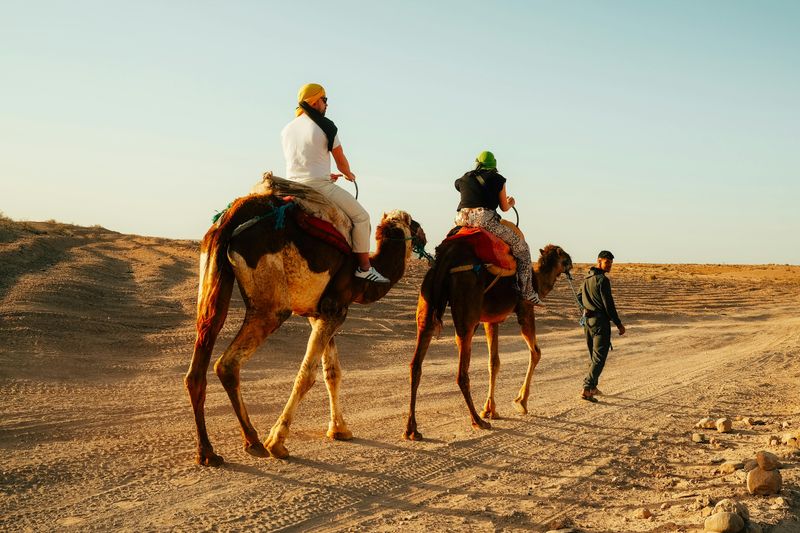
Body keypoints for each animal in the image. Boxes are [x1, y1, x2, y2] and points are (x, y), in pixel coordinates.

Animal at [185, 187, 426, 465]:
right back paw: (255, 442)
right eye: (412, 221)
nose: (423, 233)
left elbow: (332, 372)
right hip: (271, 307)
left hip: (213, 280)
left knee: (199, 359)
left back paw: (209, 451)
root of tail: (230, 220)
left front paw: (339, 430)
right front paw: (277, 443)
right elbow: (307, 375)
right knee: (227, 363)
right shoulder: (334, 309)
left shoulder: (321, 312)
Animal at [403, 238, 572, 440]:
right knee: (461, 373)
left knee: (416, 364)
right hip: (467, 310)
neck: (538, 280)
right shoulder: (525, 308)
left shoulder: (491, 320)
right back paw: (478, 421)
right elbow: (536, 352)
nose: (571, 261)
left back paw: (412, 429)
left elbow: (494, 362)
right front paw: (520, 403)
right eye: (563, 255)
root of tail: (447, 257)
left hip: (428, 301)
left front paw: (490, 409)